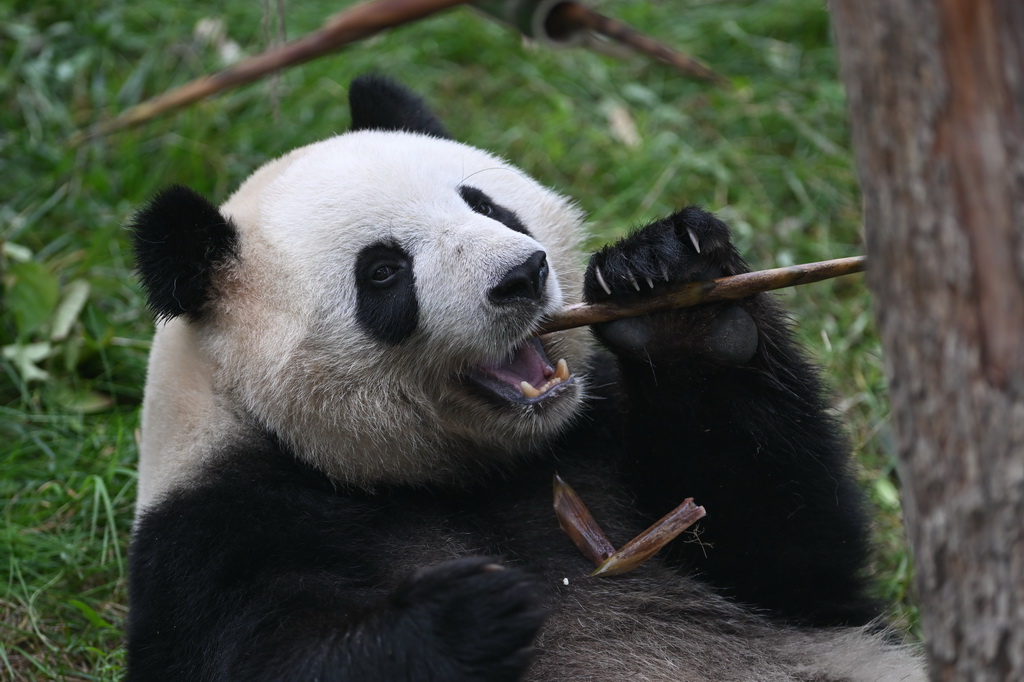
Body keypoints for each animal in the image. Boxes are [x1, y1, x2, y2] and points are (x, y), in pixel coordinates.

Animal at [125, 74, 921, 679]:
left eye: (485, 204)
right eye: (383, 272)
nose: (521, 275)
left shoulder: (599, 431)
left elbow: (795, 558)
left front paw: (677, 298)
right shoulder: (217, 535)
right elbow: (256, 657)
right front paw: (469, 613)